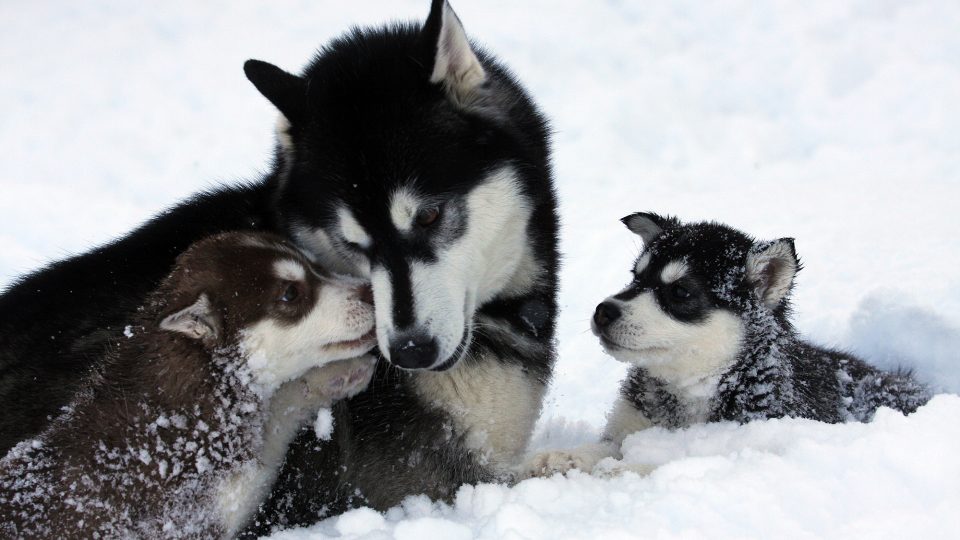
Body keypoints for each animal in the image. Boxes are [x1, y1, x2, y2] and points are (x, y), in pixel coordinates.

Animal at [0, 232, 376, 540]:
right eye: (290, 293)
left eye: (317, 266)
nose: (372, 292)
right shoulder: (195, 513)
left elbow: (278, 411)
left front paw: (335, 375)